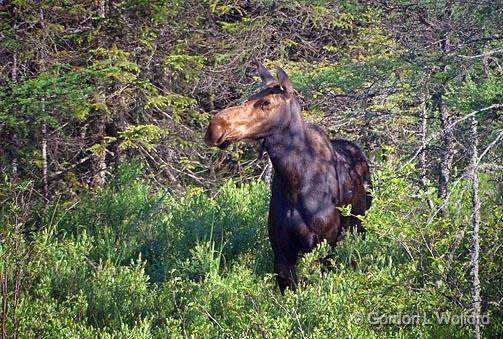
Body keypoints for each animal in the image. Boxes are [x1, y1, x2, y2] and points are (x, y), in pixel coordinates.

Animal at [203, 61, 372, 294]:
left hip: (357, 230)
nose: (215, 127)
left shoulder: (320, 248)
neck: (294, 181)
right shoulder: (282, 254)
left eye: (266, 102)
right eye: (250, 97)